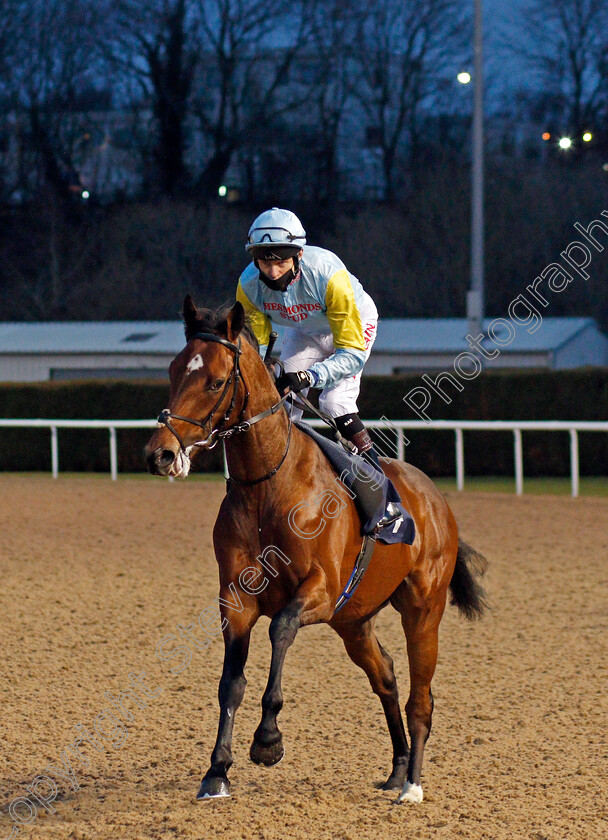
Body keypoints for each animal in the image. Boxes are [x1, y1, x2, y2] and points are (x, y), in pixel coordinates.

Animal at [145, 298, 486, 804]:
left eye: (216, 381)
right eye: (172, 370)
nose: (161, 454)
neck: (269, 487)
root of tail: (436, 500)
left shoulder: (320, 591)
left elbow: (281, 629)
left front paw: (268, 739)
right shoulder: (236, 599)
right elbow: (230, 683)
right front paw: (217, 771)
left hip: (423, 610)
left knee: (420, 697)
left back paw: (412, 784)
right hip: (354, 620)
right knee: (385, 676)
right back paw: (396, 768)